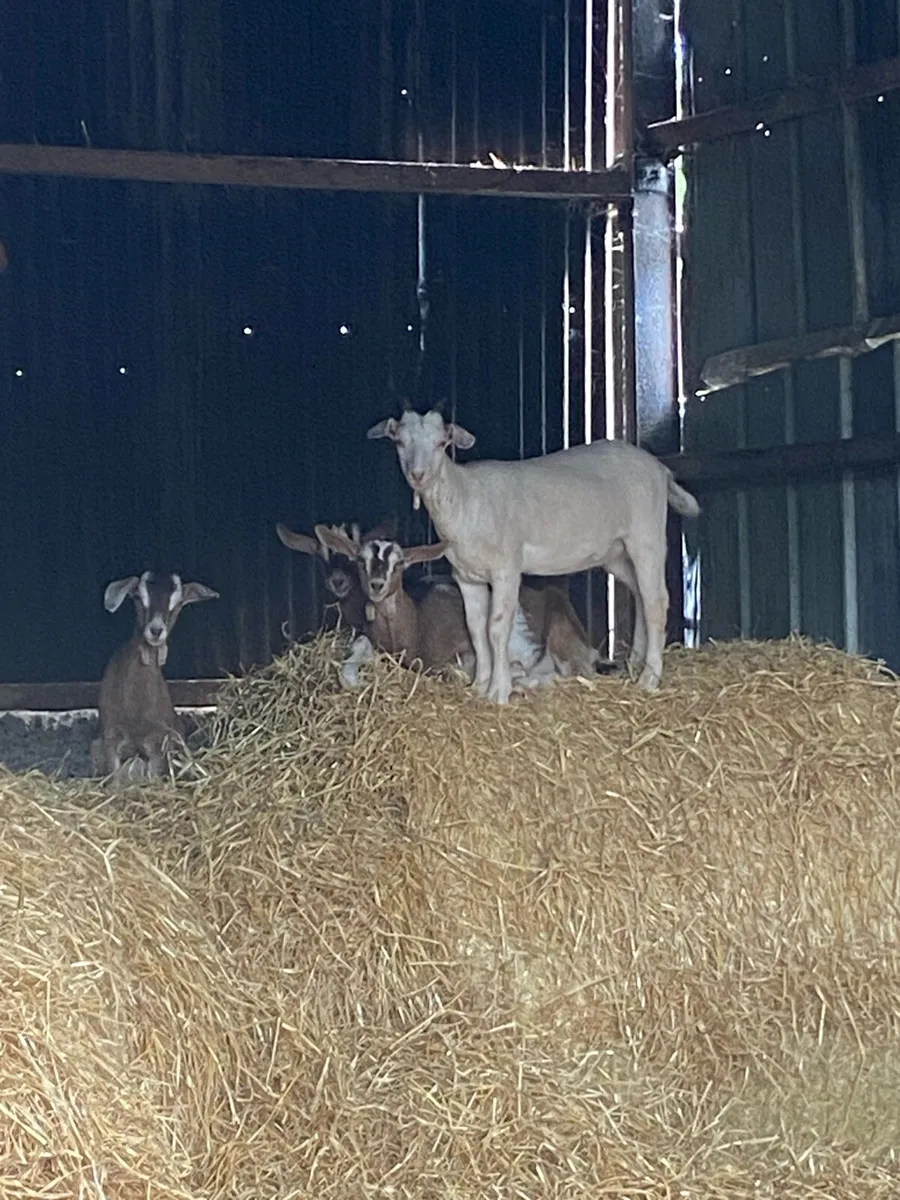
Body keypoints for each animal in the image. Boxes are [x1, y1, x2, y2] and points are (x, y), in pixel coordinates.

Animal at [316, 527, 613, 690]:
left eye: (399, 563)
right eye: (360, 561)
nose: (377, 585)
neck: (417, 624)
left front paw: (513, 674)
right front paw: (351, 677)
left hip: (562, 637)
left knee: (576, 671)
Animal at [367, 409, 700, 703]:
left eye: (441, 443)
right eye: (399, 442)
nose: (418, 475)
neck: (465, 499)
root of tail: (660, 469)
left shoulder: (506, 569)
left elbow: (495, 629)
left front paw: (498, 692)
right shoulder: (466, 578)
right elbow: (476, 630)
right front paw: (479, 686)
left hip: (646, 536)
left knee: (656, 601)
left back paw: (649, 678)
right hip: (616, 552)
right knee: (641, 595)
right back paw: (635, 663)